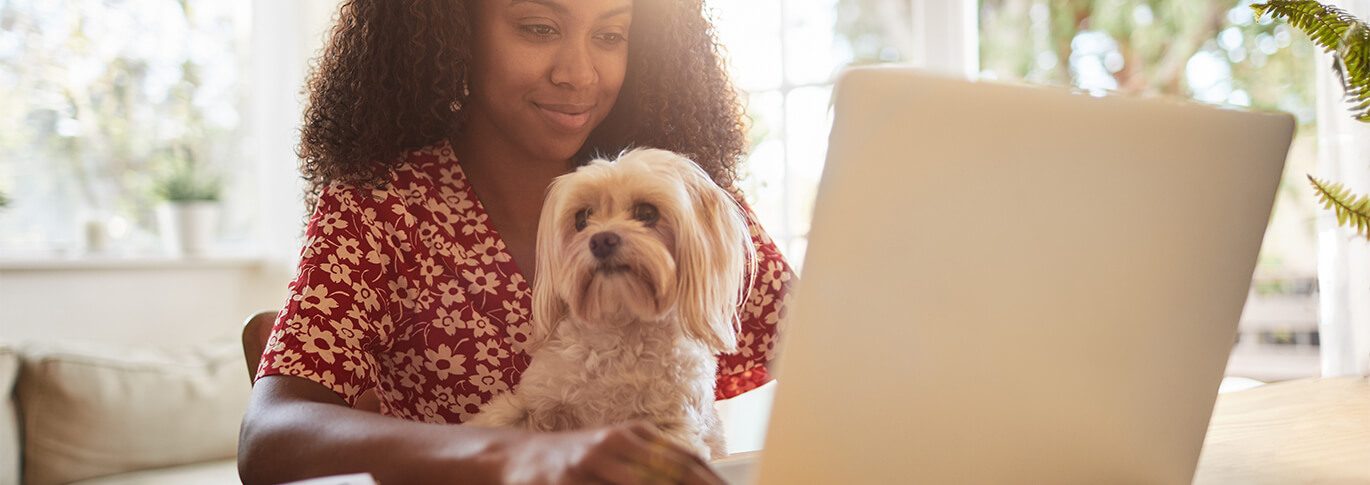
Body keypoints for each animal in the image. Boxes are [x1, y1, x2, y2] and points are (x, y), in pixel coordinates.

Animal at [465, 147, 756, 457]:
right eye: (581, 218)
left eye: (647, 213)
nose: (601, 240)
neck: (619, 323)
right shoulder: (536, 402)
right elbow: (502, 418)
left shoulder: (672, 423)